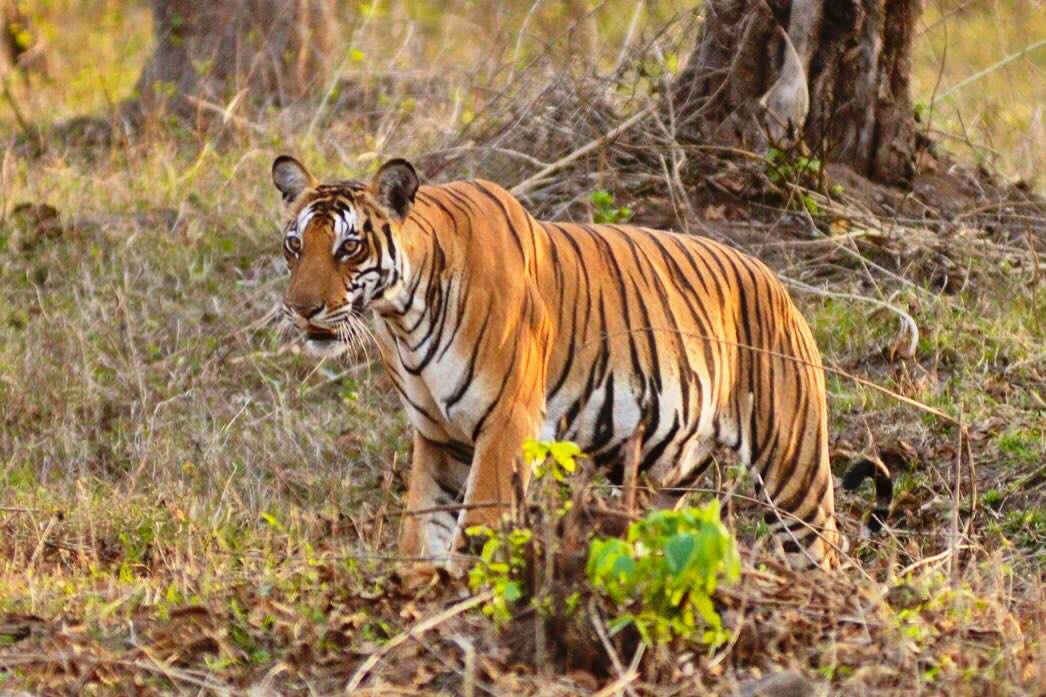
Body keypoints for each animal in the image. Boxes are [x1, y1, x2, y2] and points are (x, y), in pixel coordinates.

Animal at [269, 151, 882, 565]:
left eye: (349, 247)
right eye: (295, 245)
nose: (300, 308)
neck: (403, 317)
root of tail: (776, 281)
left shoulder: (505, 424)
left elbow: (476, 529)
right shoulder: (441, 437)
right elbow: (423, 535)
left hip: (794, 470)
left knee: (824, 552)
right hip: (669, 473)